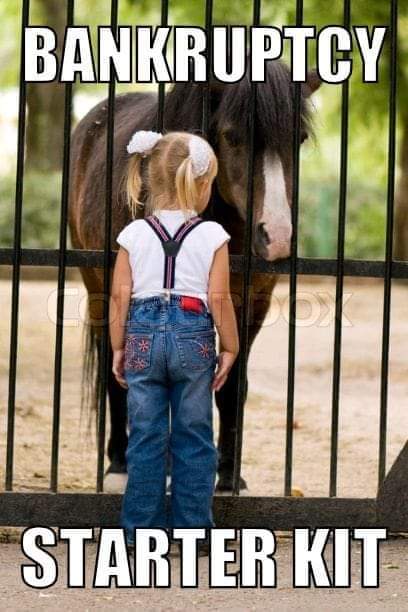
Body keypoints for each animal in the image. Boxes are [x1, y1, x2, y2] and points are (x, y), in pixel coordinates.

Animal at [68, 62, 320, 492]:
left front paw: (230, 476)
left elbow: (232, 387)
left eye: (299, 139)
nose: (277, 237)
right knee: (113, 370)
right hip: (98, 285)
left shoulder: (251, 303)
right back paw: (120, 462)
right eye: (232, 136)